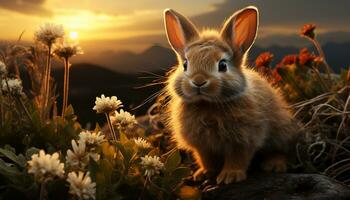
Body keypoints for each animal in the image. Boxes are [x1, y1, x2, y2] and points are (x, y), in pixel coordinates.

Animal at [163, 5, 300, 184]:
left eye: (222, 65)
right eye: (185, 65)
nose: (198, 81)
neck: (207, 104)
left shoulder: (243, 140)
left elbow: (237, 158)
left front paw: (230, 177)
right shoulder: (202, 146)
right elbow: (206, 159)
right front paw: (203, 173)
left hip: (281, 132)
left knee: (281, 150)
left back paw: (273, 165)